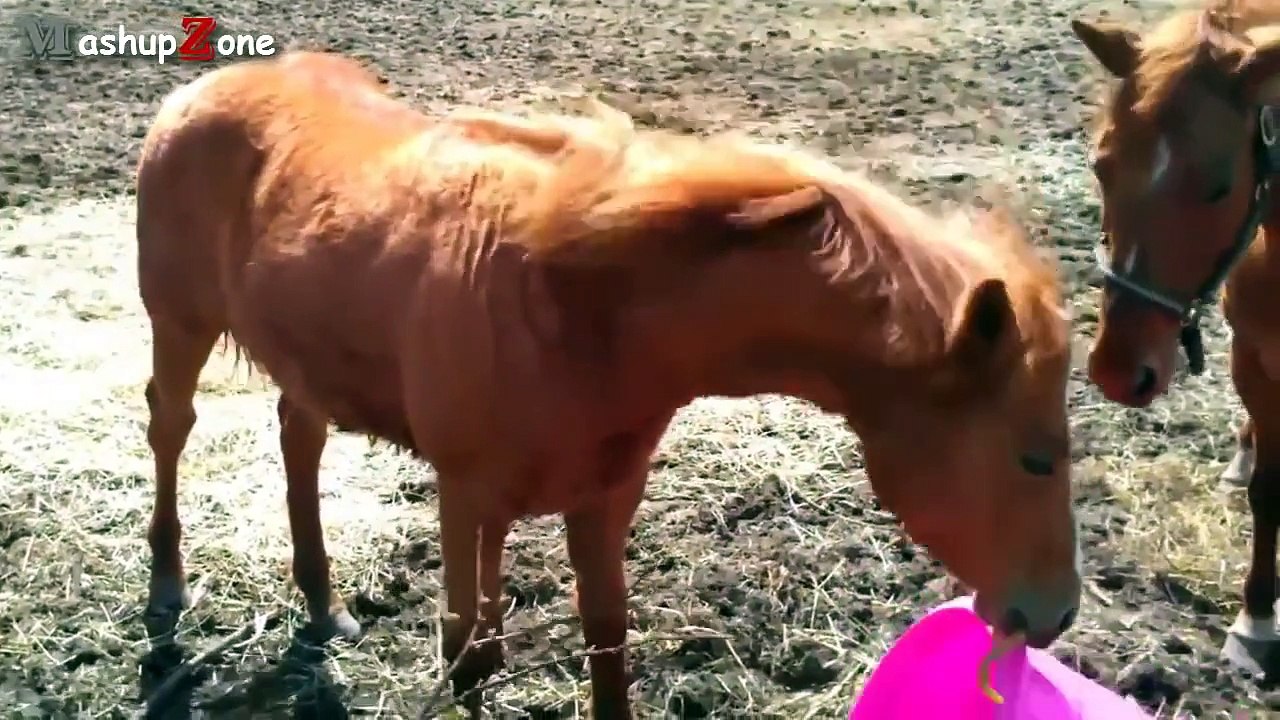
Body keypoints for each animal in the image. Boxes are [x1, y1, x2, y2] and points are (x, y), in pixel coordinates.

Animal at [135, 50, 1081, 717]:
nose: (1057, 615)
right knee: (170, 427)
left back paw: (323, 604)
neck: (572, 298)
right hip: (179, 325)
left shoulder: (601, 501)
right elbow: (467, 656)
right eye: (1036, 458)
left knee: (298, 435)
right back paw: (169, 587)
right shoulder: (462, 491)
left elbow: (604, 642)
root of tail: (203, 88)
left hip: (303, 358)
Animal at [1071, 0, 1280, 675]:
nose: (1119, 371)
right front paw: (1257, 619)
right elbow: (1270, 491)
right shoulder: (1256, 359)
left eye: (1219, 183)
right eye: (1100, 166)